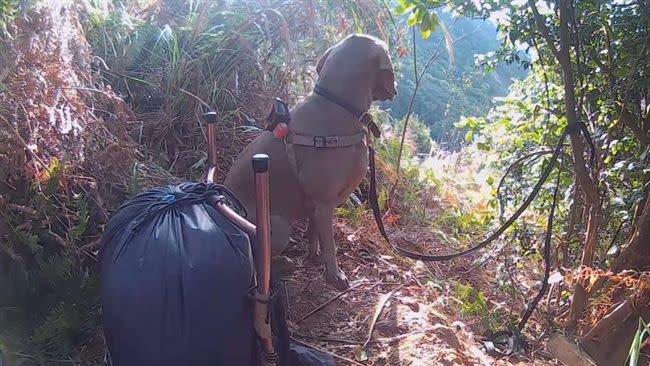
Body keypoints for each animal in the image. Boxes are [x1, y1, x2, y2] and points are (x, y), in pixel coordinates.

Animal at [223, 35, 394, 292]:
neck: (338, 105)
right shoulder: (324, 201)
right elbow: (330, 244)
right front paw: (335, 275)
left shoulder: (317, 203)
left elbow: (315, 233)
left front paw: (314, 255)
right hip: (276, 228)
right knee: (259, 262)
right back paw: (282, 264)